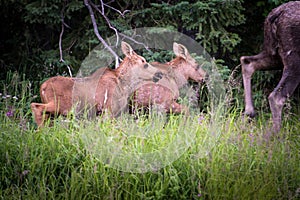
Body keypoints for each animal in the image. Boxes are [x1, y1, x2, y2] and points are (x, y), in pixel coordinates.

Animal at [31, 41, 164, 127]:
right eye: (144, 62)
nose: (159, 73)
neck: (124, 86)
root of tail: (42, 87)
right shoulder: (108, 109)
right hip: (62, 105)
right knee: (35, 106)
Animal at [241, 1, 300, 133]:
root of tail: (275, 14)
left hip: (274, 53)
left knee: (247, 61)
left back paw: (250, 112)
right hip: (294, 58)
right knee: (276, 97)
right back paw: (277, 135)